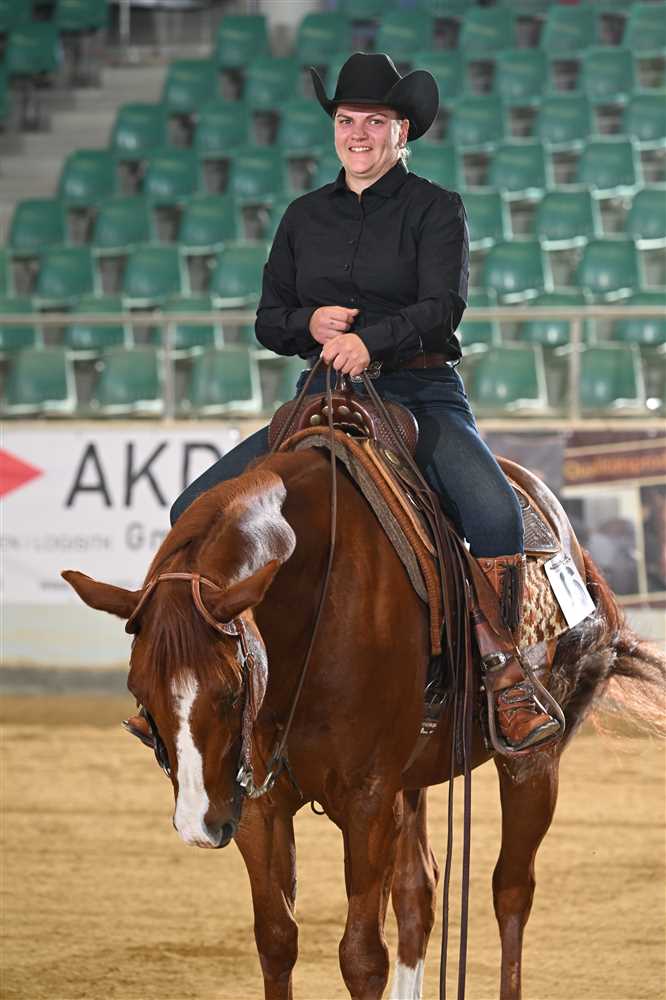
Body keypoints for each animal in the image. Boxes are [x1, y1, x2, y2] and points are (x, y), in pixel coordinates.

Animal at [62, 443, 665, 1000]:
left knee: (511, 891)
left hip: (532, 764)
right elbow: (277, 939)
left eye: (232, 690)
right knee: (419, 892)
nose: (198, 825)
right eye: (140, 692)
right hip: (414, 779)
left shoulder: (367, 798)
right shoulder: (257, 805)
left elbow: (361, 957)